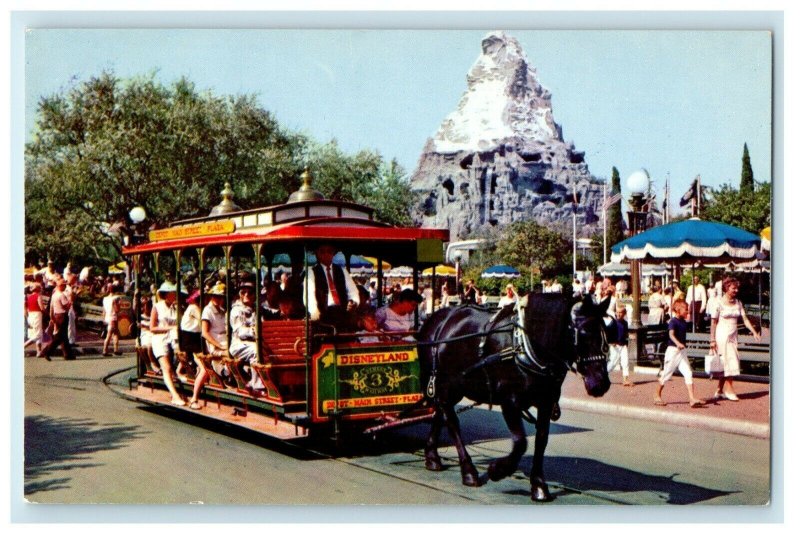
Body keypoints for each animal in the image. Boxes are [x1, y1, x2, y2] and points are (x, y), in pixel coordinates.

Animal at [418, 294, 612, 502]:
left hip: (453, 388)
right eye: (583, 333)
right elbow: (520, 443)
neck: (525, 346)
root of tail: (435, 319)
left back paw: (432, 457)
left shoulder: (546, 402)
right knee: (452, 422)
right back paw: (469, 471)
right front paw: (497, 470)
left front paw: (538, 485)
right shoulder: (510, 402)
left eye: (606, 332)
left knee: (440, 413)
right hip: (445, 385)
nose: (601, 383)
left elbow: (541, 440)